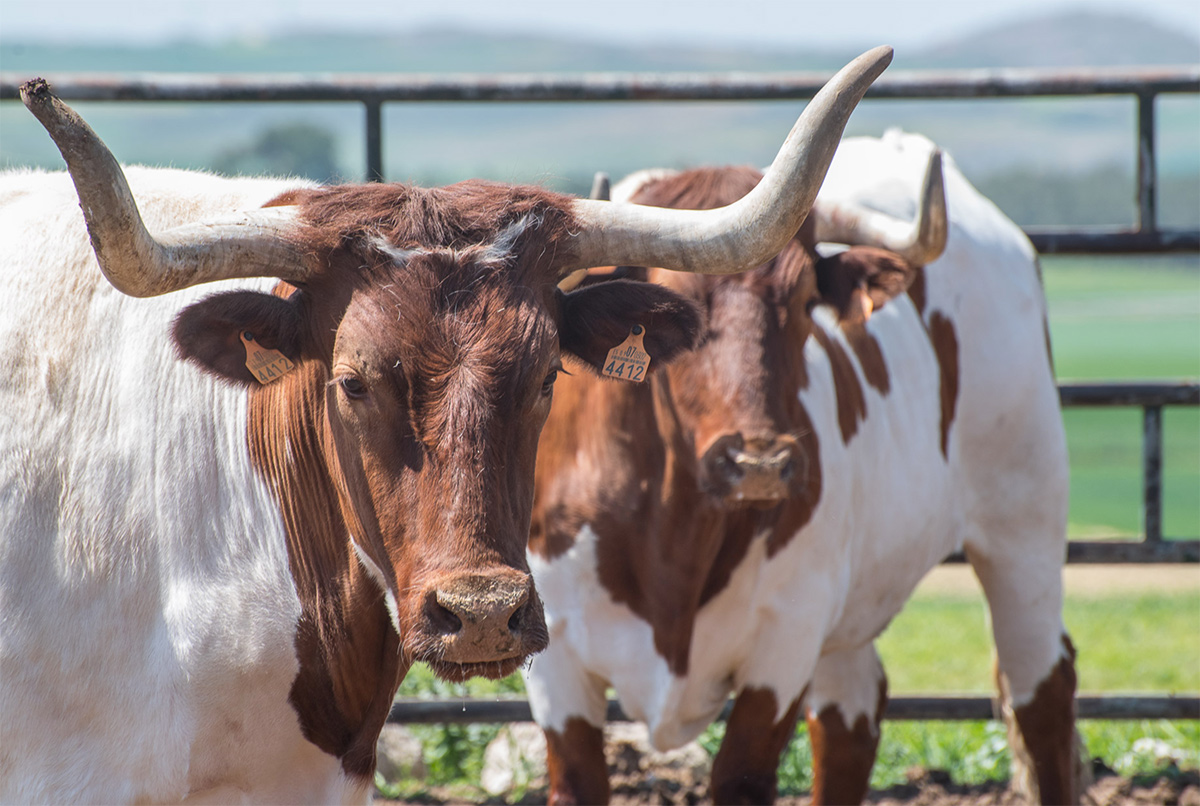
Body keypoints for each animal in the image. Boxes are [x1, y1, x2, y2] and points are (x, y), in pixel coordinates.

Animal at [530, 128, 1084, 801]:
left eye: (801, 300)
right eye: (680, 304)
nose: (759, 463)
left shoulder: (785, 642)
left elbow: (741, 778)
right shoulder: (556, 662)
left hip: (1024, 528)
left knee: (1041, 692)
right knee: (852, 718)